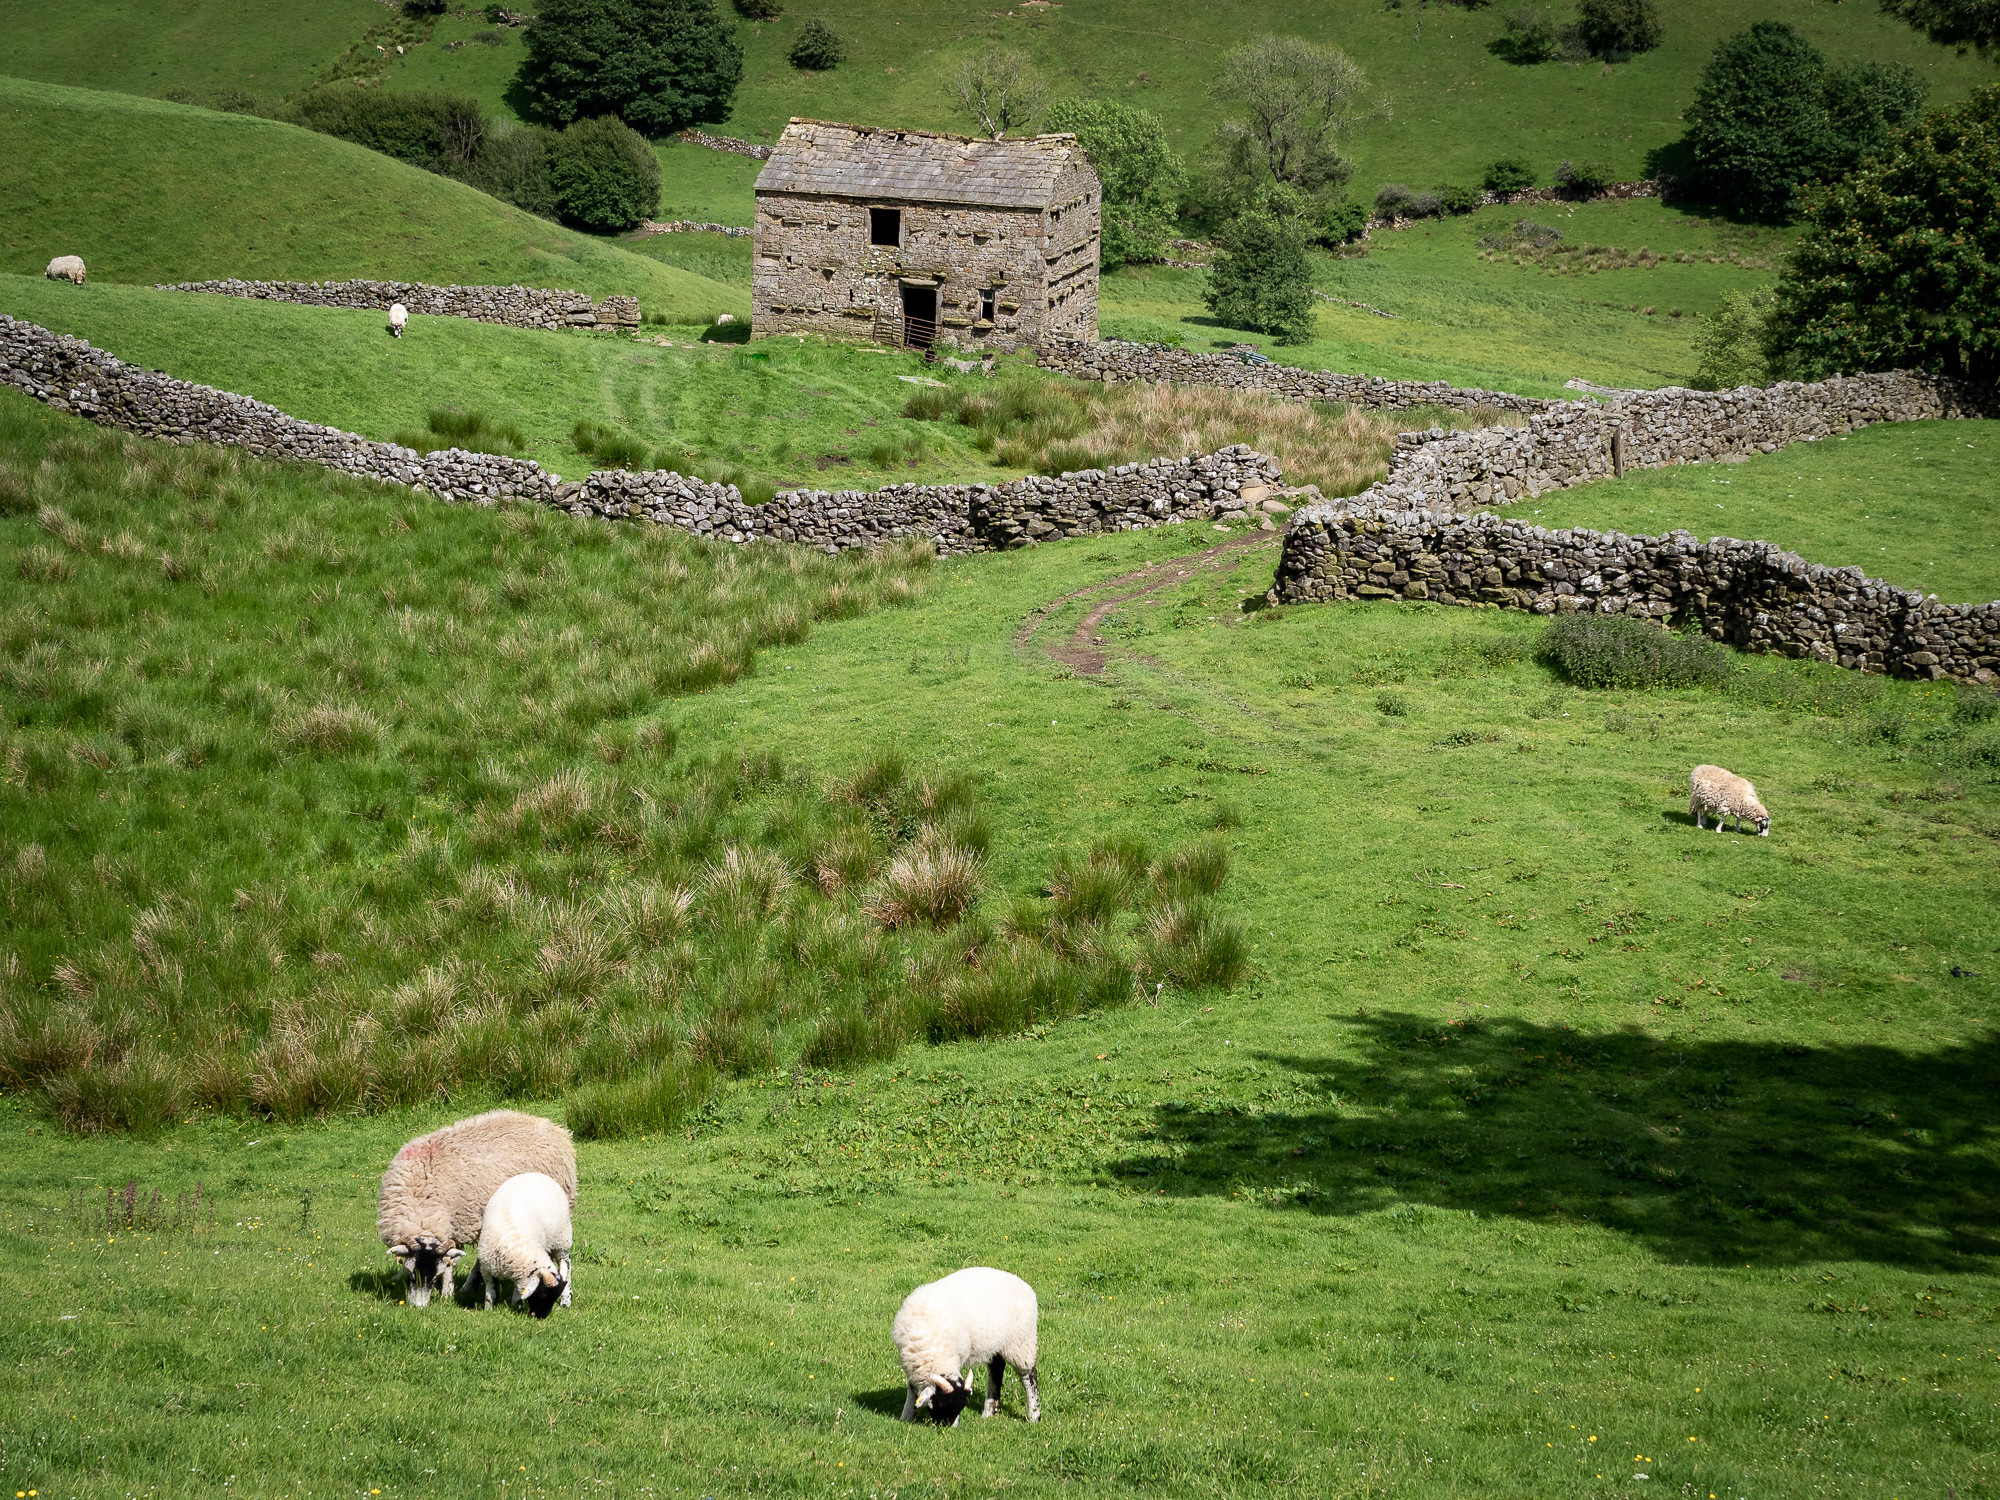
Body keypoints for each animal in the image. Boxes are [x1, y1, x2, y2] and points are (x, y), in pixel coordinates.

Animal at [462, 1168, 572, 1320]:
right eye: (543, 1294)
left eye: (553, 1297)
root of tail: (538, 1174)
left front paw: (516, 1303)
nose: (540, 1317)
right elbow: (491, 1293)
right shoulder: (488, 1268)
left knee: (567, 1266)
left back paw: (566, 1300)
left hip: (562, 1241)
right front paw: (489, 1309)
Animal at [896, 1272, 1048, 1424]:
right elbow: (912, 1388)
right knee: (996, 1370)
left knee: (1029, 1377)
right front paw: (906, 1417)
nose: (948, 1427)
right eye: (941, 1403)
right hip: (995, 1345)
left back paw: (1034, 1415)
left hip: (1021, 1342)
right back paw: (989, 1412)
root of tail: (1025, 1285)